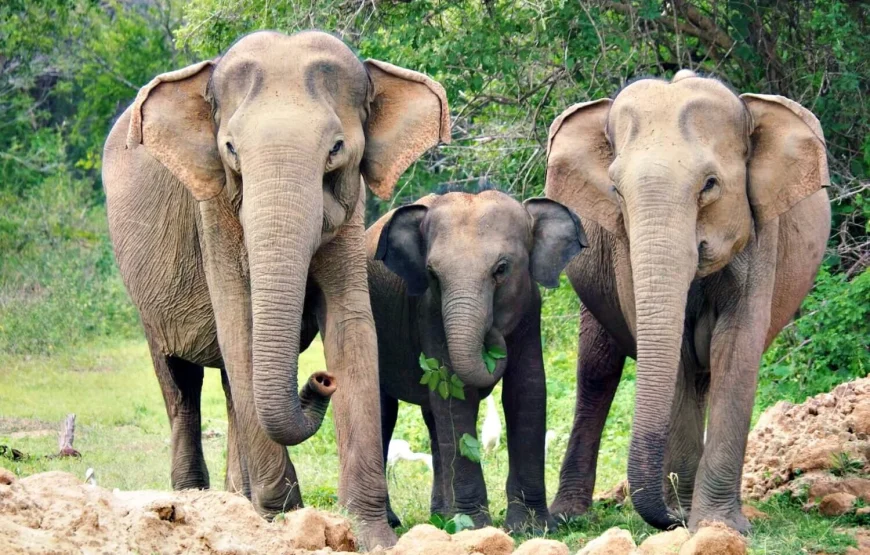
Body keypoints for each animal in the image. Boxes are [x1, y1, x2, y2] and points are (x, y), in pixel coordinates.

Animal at [102, 30, 450, 549]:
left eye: (336, 148)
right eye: (230, 149)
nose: (321, 380)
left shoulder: (351, 210)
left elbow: (351, 324)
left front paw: (373, 536)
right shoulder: (214, 212)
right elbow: (238, 322)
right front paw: (283, 520)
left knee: (229, 386)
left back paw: (236, 500)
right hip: (147, 298)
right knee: (180, 383)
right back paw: (193, 501)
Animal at [366, 190, 587, 532]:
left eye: (502, 269)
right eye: (432, 274)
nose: (493, 333)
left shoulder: (530, 308)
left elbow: (527, 390)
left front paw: (531, 528)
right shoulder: (429, 312)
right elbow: (455, 395)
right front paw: (474, 527)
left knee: (433, 421)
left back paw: (442, 516)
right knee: (385, 410)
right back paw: (399, 521)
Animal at [544, 70, 830, 532]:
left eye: (710, 185)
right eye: (615, 189)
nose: (672, 518)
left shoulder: (761, 233)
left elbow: (736, 346)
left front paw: (717, 526)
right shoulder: (624, 249)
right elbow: (675, 354)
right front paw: (690, 516)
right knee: (598, 372)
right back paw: (570, 516)